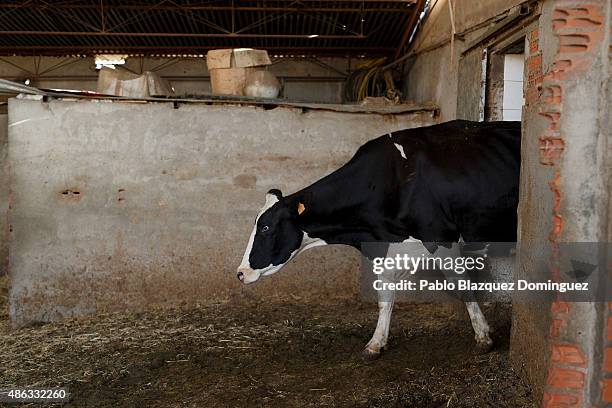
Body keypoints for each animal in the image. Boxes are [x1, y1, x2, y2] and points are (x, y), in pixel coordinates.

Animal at [237, 119, 520, 358]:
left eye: (265, 227)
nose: (240, 273)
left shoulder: (440, 236)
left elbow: (463, 286)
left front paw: (483, 337)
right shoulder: (387, 248)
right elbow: (385, 297)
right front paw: (375, 343)